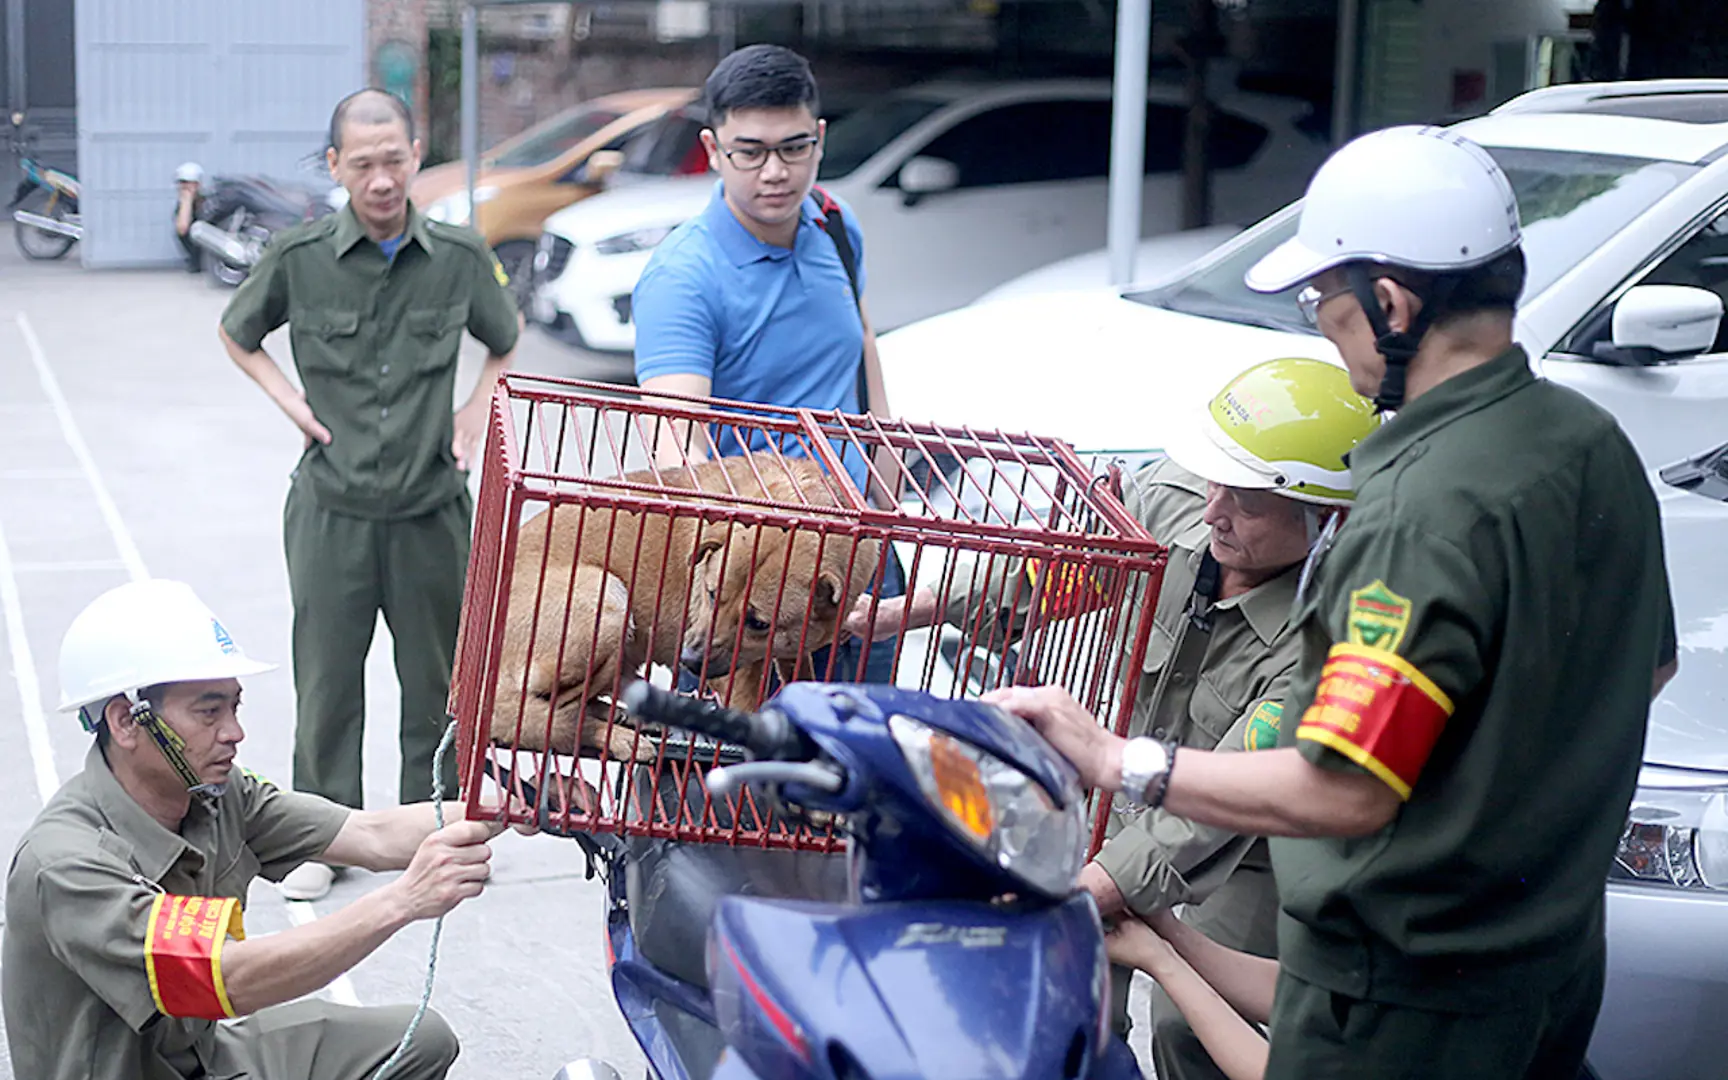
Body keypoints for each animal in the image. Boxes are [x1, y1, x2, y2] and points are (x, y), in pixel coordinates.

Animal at [490, 456, 884, 756]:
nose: (689, 660)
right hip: (606, 598)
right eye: (710, 593)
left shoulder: (791, 650)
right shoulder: (734, 677)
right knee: (555, 709)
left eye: (759, 623)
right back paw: (614, 734)